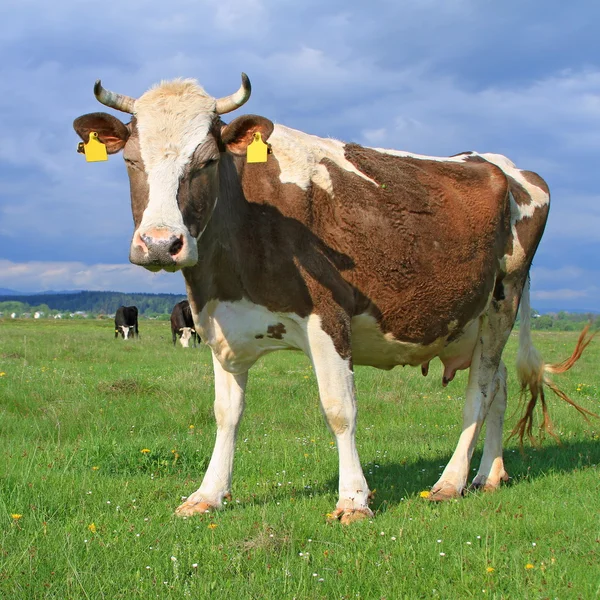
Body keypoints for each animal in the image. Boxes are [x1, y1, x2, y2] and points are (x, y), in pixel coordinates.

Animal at [75, 75, 596, 524]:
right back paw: (490, 473)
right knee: (501, 384)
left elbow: (339, 409)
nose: (161, 243)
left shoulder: (329, 317)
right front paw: (207, 494)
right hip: (468, 320)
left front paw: (353, 500)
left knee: (482, 389)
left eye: (205, 160)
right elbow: (226, 414)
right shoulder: (220, 325)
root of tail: (501, 164)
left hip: (502, 302)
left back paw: (451, 481)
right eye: (132, 162)